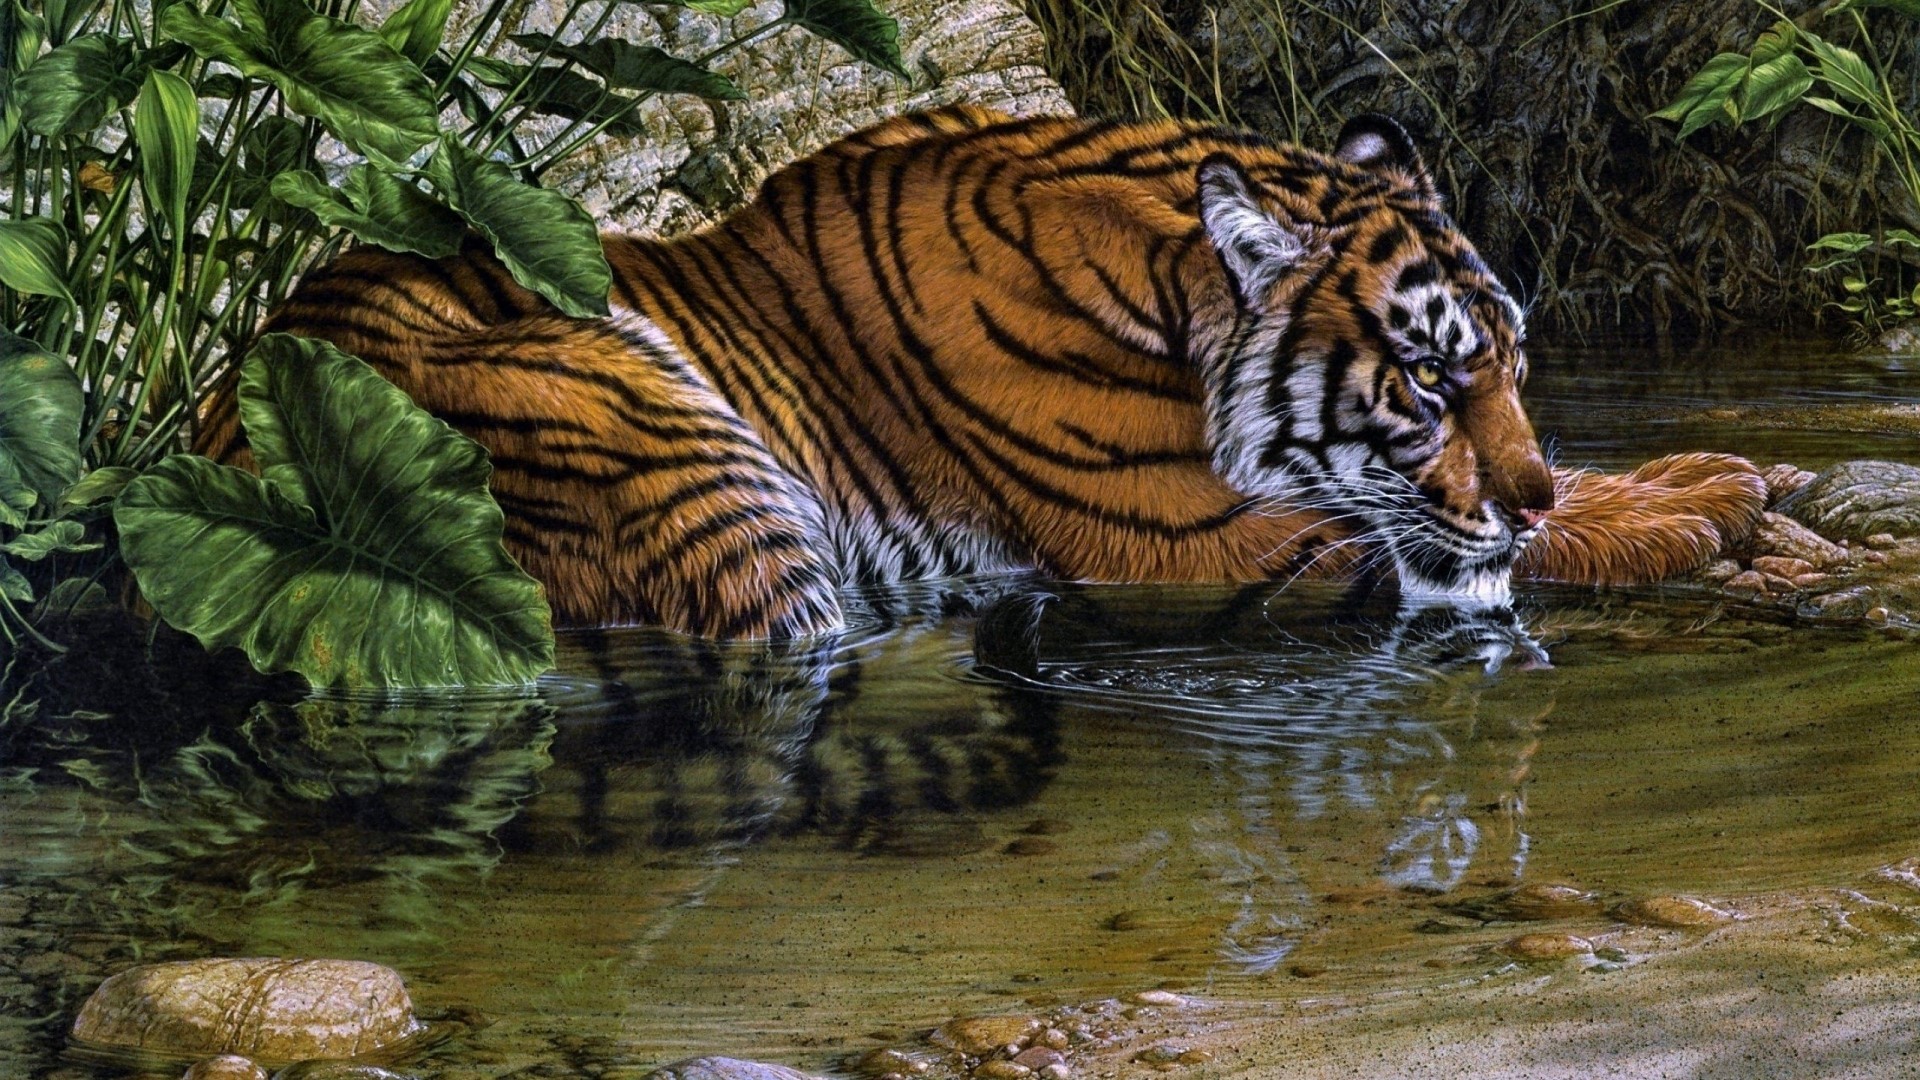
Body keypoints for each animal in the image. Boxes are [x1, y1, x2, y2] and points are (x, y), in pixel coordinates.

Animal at [198, 105, 1766, 638]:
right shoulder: (1200, 543)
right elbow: (1476, 546)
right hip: (668, 449)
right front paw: (1698, 506)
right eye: (1433, 387)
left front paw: (1713, 469)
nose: (1528, 488)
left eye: (1516, 370)